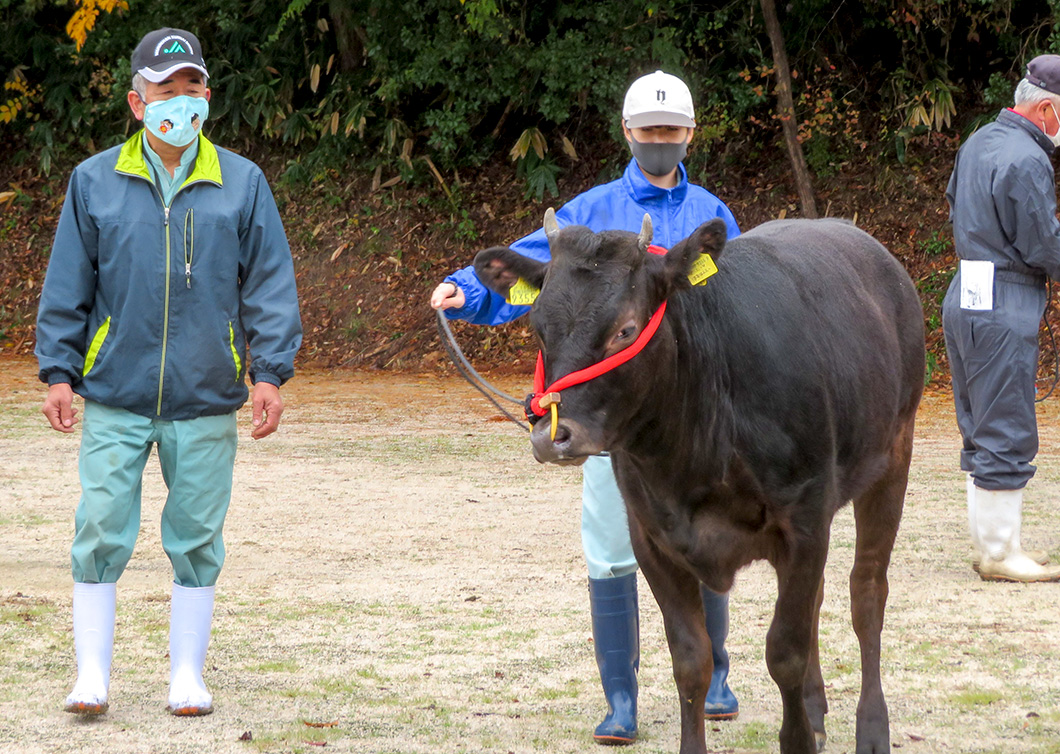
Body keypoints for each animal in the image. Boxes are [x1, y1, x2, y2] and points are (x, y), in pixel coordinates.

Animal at [476, 212, 924, 754]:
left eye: (626, 330)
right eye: (538, 327)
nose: (552, 435)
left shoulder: (805, 518)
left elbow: (785, 651)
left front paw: (797, 737)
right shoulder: (652, 536)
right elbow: (691, 660)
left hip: (893, 455)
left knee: (867, 592)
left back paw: (871, 727)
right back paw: (816, 710)